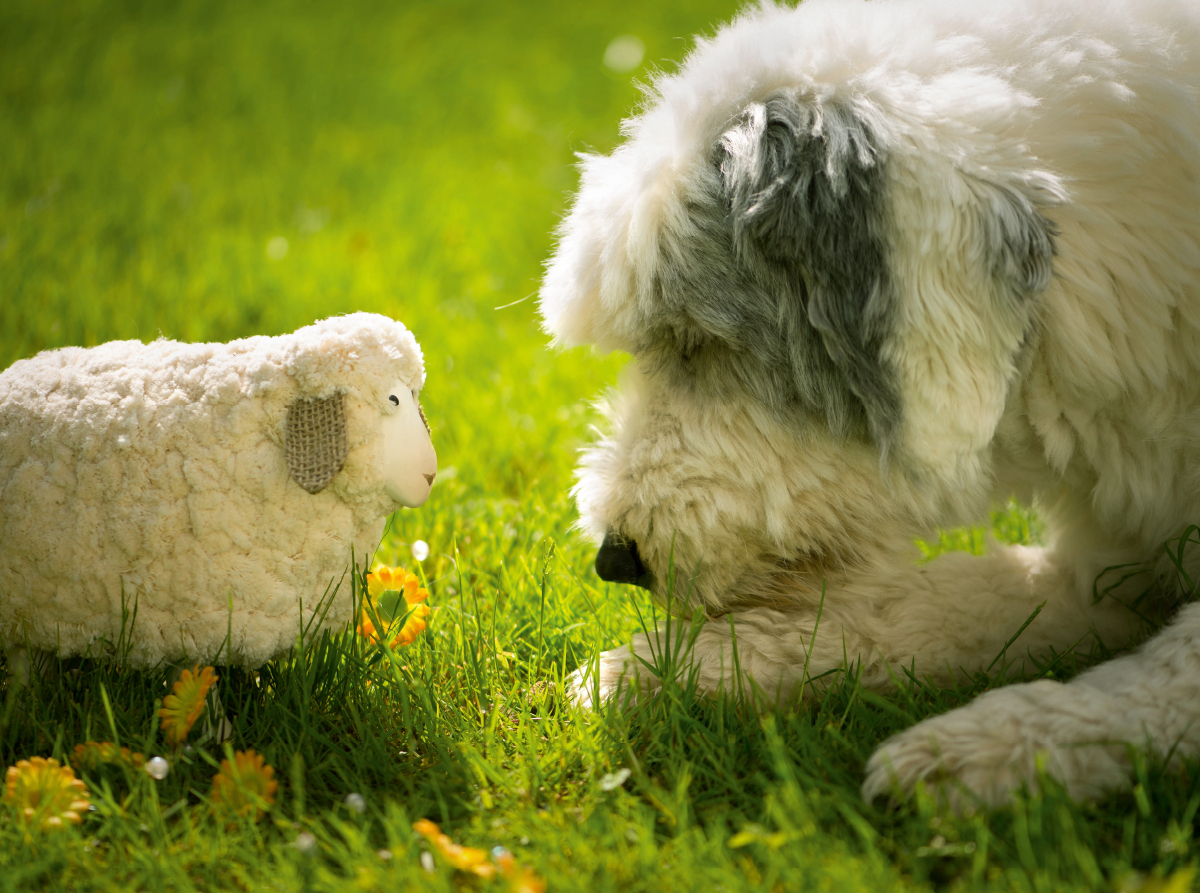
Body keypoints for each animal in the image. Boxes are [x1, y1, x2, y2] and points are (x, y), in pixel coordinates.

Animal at [542, 0, 1200, 811]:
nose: (614, 559)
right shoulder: (1104, 575)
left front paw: (982, 749)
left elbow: (1166, 673)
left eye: (697, 342)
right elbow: (925, 599)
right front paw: (663, 666)